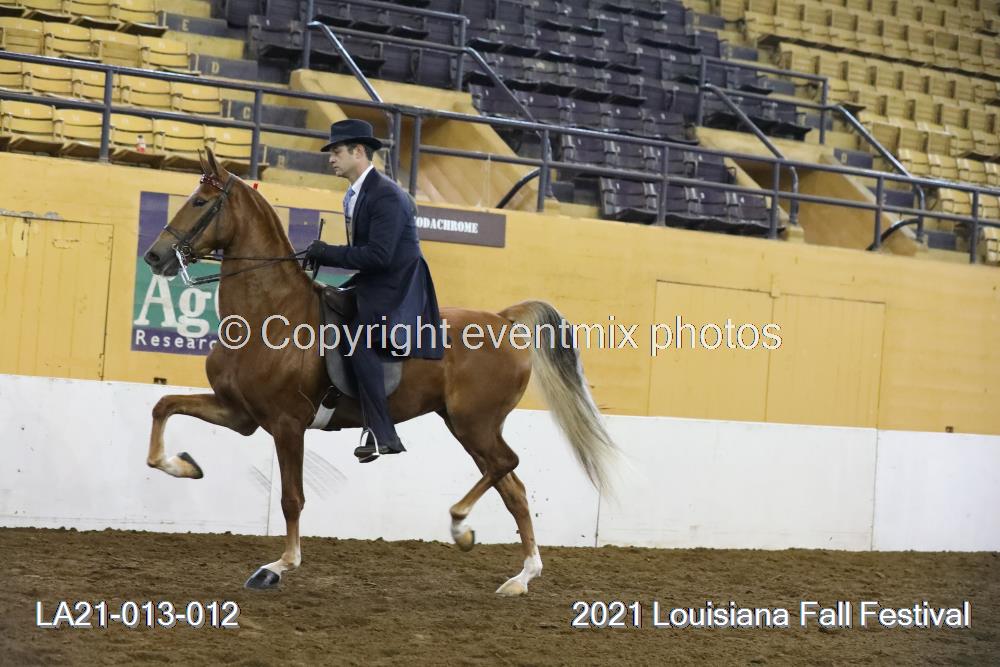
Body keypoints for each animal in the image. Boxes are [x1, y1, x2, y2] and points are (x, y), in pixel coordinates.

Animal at [141, 147, 618, 595]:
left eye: (200, 202)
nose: (154, 256)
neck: (269, 315)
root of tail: (502, 319)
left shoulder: (286, 423)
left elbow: (292, 498)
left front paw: (279, 566)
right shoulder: (239, 413)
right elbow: (163, 407)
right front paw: (184, 466)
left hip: (475, 423)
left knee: (506, 465)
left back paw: (461, 523)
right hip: (465, 424)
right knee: (512, 487)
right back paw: (518, 574)